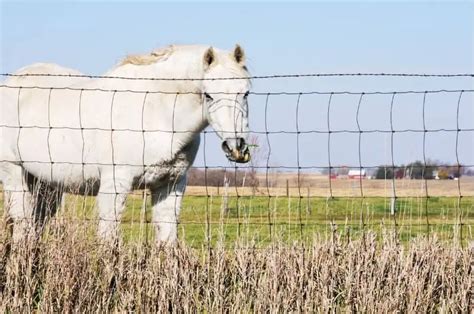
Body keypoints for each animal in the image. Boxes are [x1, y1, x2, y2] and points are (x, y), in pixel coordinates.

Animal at [0, 44, 252, 243]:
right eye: (208, 96)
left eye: (246, 93)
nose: (236, 147)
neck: (155, 111)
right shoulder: (115, 185)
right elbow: (109, 241)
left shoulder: (171, 185)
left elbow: (167, 239)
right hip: (14, 172)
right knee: (22, 223)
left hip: (44, 184)